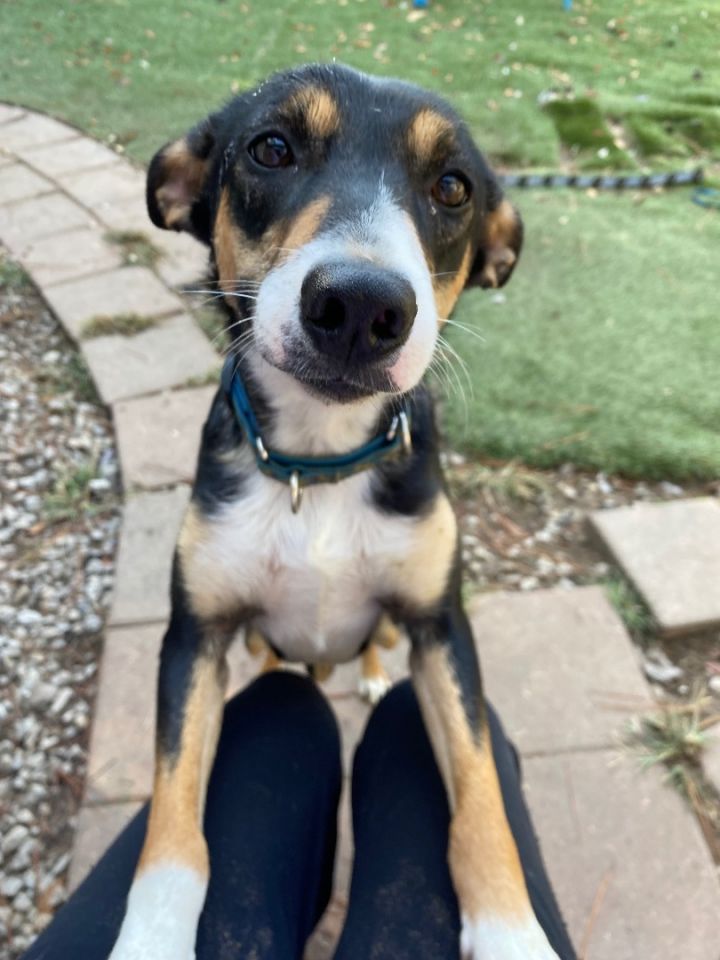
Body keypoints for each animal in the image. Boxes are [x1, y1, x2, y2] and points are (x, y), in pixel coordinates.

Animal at [108, 65, 564, 960]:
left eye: (453, 186)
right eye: (271, 148)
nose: (360, 306)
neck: (318, 467)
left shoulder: (443, 628)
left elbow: (482, 801)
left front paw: (511, 932)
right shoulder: (193, 638)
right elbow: (173, 824)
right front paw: (148, 938)